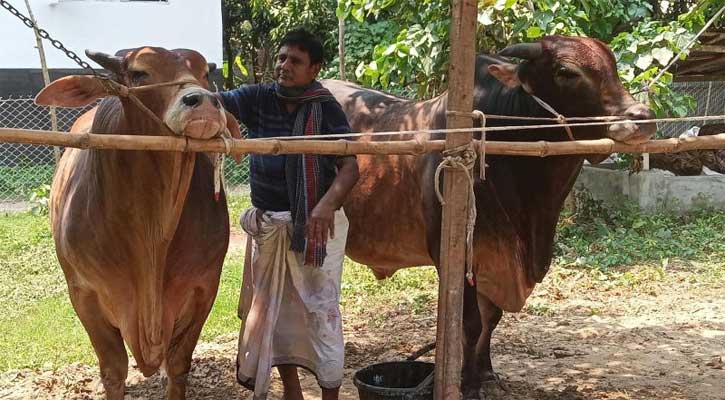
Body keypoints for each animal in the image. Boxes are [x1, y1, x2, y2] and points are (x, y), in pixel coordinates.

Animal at [34, 47, 240, 400]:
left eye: (204, 73)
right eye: (139, 73)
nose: (203, 101)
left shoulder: (204, 287)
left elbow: (179, 364)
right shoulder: (84, 293)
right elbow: (113, 370)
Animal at [326, 36, 660, 398]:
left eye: (612, 64)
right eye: (566, 71)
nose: (642, 117)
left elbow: (492, 318)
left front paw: (485, 372)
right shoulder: (455, 253)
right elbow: (470, 322)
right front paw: (467, 383)